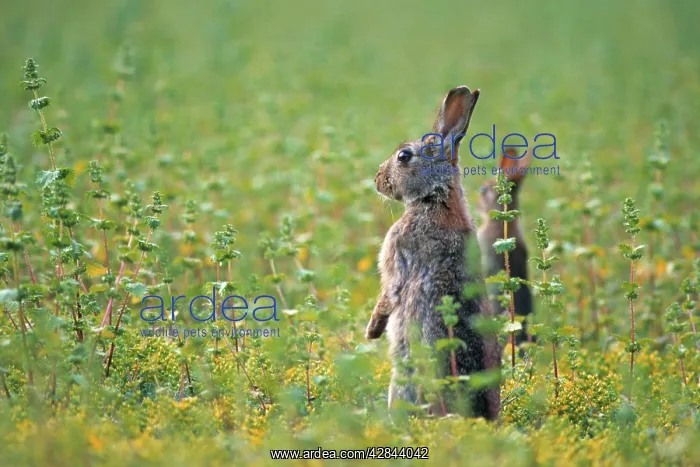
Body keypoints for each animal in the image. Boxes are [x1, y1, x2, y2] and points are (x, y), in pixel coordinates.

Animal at [365, 86, 500, 420]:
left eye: (404, 156)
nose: (378, 180)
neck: (435, 198)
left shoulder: (397, 259)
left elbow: (389, 292)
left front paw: (371, 332)